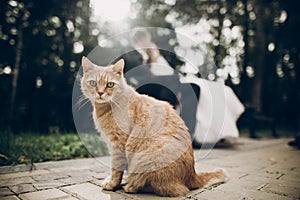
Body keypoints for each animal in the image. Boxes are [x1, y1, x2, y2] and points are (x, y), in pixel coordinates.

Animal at [81, 56, 229, 197]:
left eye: (110, 84)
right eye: (93, 83)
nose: (100, 93)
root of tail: (192, 175)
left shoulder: (119, 144)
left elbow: (116, 169)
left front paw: (112, 184)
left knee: (163, 187)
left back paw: (131, 186)